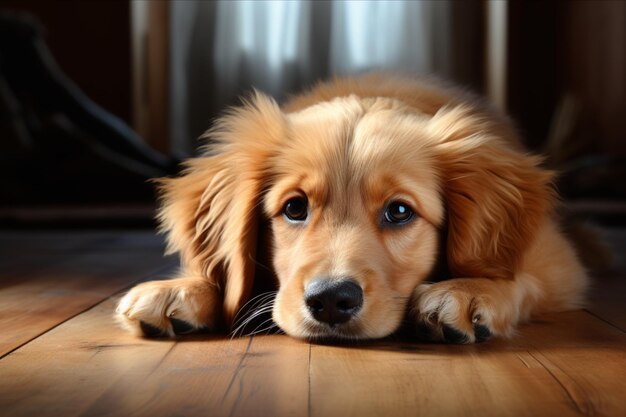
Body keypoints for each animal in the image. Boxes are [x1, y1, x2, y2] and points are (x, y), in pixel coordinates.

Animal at [116, 74, 584, 342]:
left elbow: (520, 276)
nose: (329, 301)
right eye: (294, 208)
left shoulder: (558, 261)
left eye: (399, 212)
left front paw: (468, 290)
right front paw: (182, 288)